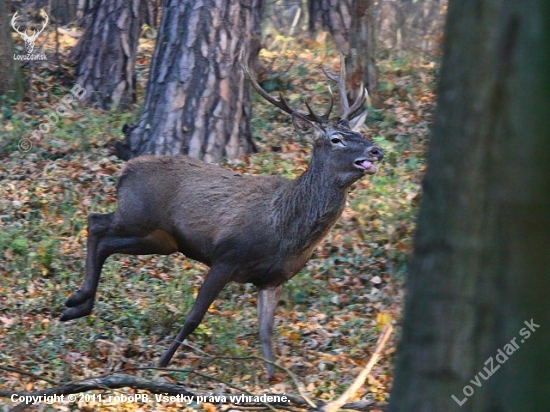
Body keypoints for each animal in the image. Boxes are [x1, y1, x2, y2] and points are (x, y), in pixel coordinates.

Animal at [60, 57, 386, 380]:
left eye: (360, 134)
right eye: (336, 139)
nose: (377, 149)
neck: (284, 231)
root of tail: (124, 172)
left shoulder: (274, 279)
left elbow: (266, 334)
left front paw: (272, 380)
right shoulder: (225, 257)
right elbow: (194, 317)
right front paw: (161, 364)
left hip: (160, 239)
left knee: (105, 239)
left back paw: (77, 306)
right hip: (136, 215)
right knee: (96, 222)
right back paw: (77, 299)